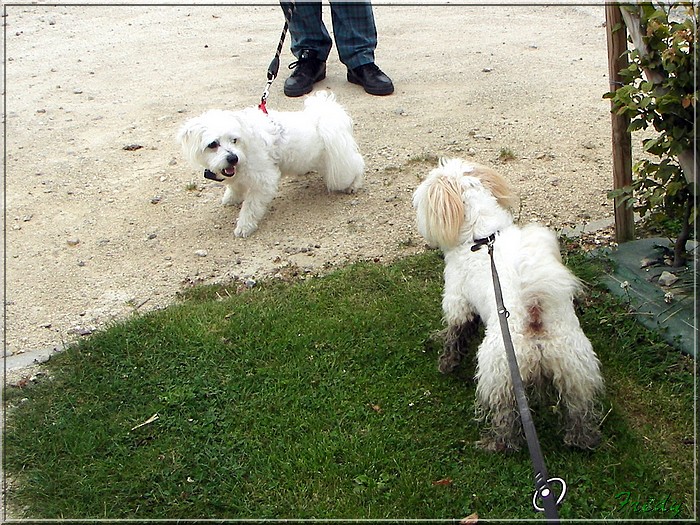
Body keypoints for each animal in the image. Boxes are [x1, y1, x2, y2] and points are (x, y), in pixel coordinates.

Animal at [175, 91, 364, 236]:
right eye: (213, 144)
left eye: (234, 140)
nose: (233, 158)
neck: (245, 147)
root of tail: (322, 117)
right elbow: (235, 186)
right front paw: (232, 197)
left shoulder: (264, 181)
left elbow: (250, 206)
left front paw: (244, 226)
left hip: (339, 169)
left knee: (357, 164)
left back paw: (354, 184)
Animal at [412, 157, 604, 450]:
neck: (482, 238)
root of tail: (535, 314)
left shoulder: (458, 302)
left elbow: (455, 336)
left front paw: (446, 364)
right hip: (575, 372)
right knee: (578, 412)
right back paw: (580, 440)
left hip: (498, 373)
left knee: (506, 417)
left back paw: (495, 444)